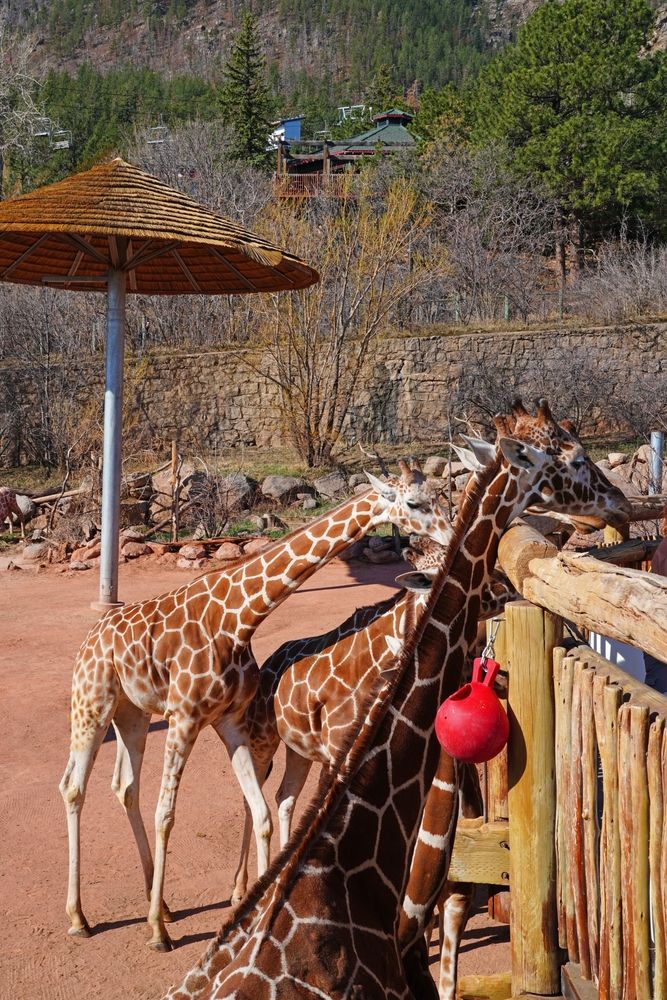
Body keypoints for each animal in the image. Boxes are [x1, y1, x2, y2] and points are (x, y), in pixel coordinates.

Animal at [59, 464, 453, 952]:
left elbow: (262, 813)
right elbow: (167, 814)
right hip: (92, 702)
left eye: (442, 495)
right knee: (74, 787)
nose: (451, 534)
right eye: (414, 503)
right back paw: (81, 917)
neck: (238, 618)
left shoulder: (228, 721)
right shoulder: (185, 717)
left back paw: (162, 902)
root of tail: (91, 637)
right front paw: (156, 933)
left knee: (125, 786)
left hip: (132, 714)